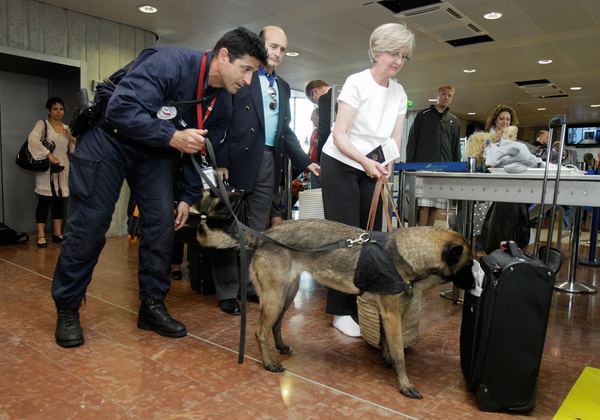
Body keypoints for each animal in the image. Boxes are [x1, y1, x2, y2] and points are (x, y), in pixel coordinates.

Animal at [197, 220, 474, 400]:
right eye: (468, 265)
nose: (476, 286)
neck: (404, 254)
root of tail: (265, 234)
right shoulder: (392, 316)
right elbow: (400, 355)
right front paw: (404, 384)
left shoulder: (388, 316)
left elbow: (387, 344)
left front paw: (387, 361)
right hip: (275, 298)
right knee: (260, 332)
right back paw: (269, 364)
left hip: (287, 294)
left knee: (275, 325)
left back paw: (281, 347)